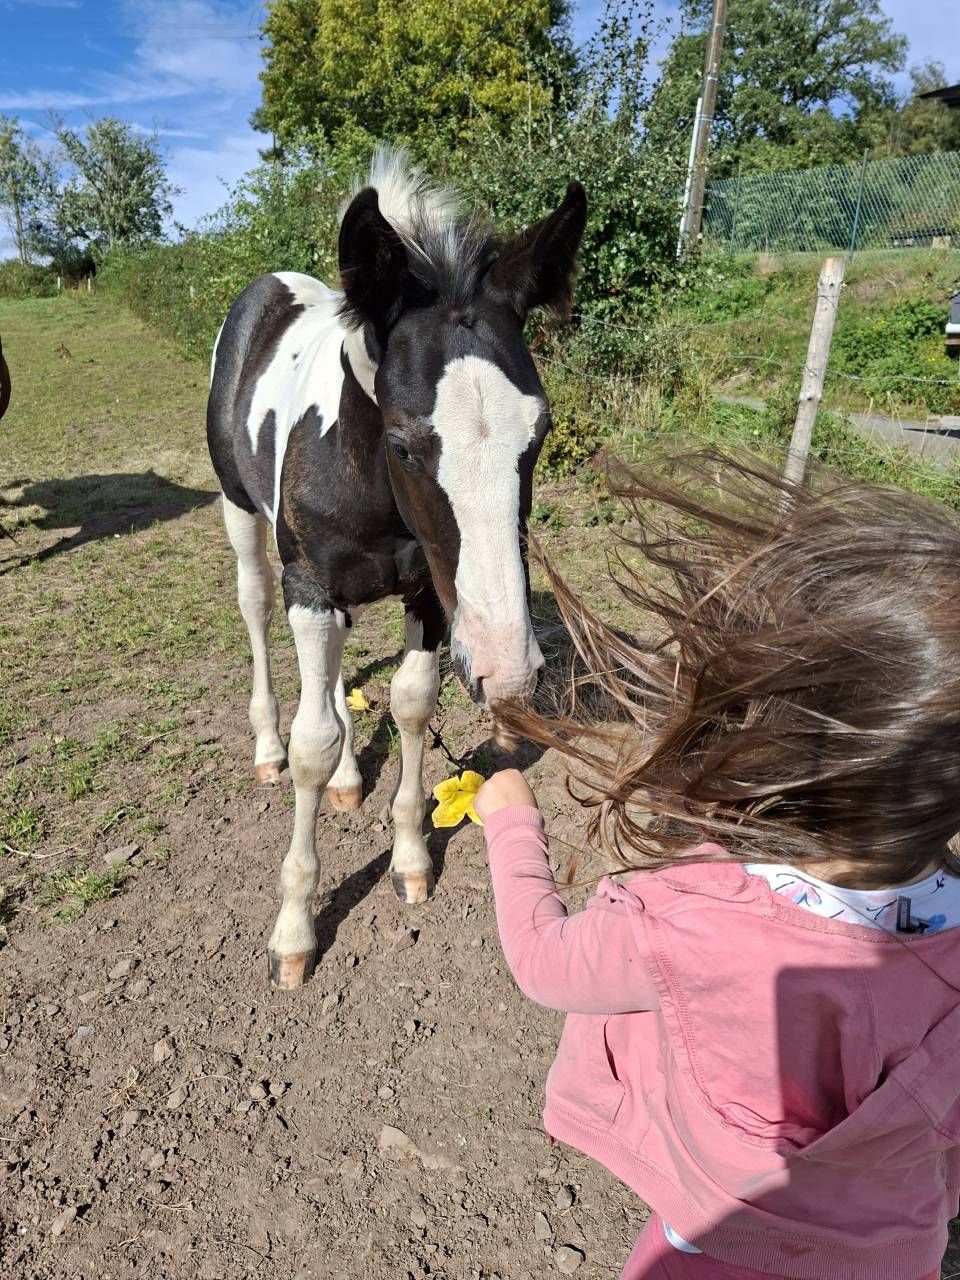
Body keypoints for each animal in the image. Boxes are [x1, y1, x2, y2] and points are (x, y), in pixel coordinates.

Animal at [207, 148, 586, 988]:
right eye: (406, 443)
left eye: (540, 433)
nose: (512, 673)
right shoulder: (311, 588)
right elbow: (312, 741)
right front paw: (293, 933)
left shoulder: (432, 595)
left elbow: (410, 705)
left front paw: (411, 856)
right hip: (240, 515)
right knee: (254, 612)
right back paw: (268, 747)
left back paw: (352, 778)